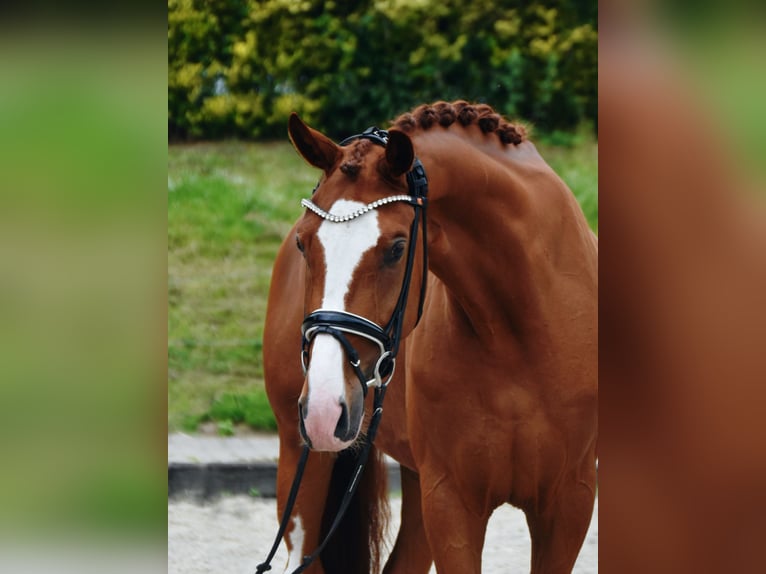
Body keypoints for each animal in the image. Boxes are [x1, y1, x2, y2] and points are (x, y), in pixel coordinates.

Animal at [262, 101, 598, 573]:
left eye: (397, 248)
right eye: (303, 243)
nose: (325, 408)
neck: (518, 334)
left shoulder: (570, 501)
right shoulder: (451, 501)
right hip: (301, 457)